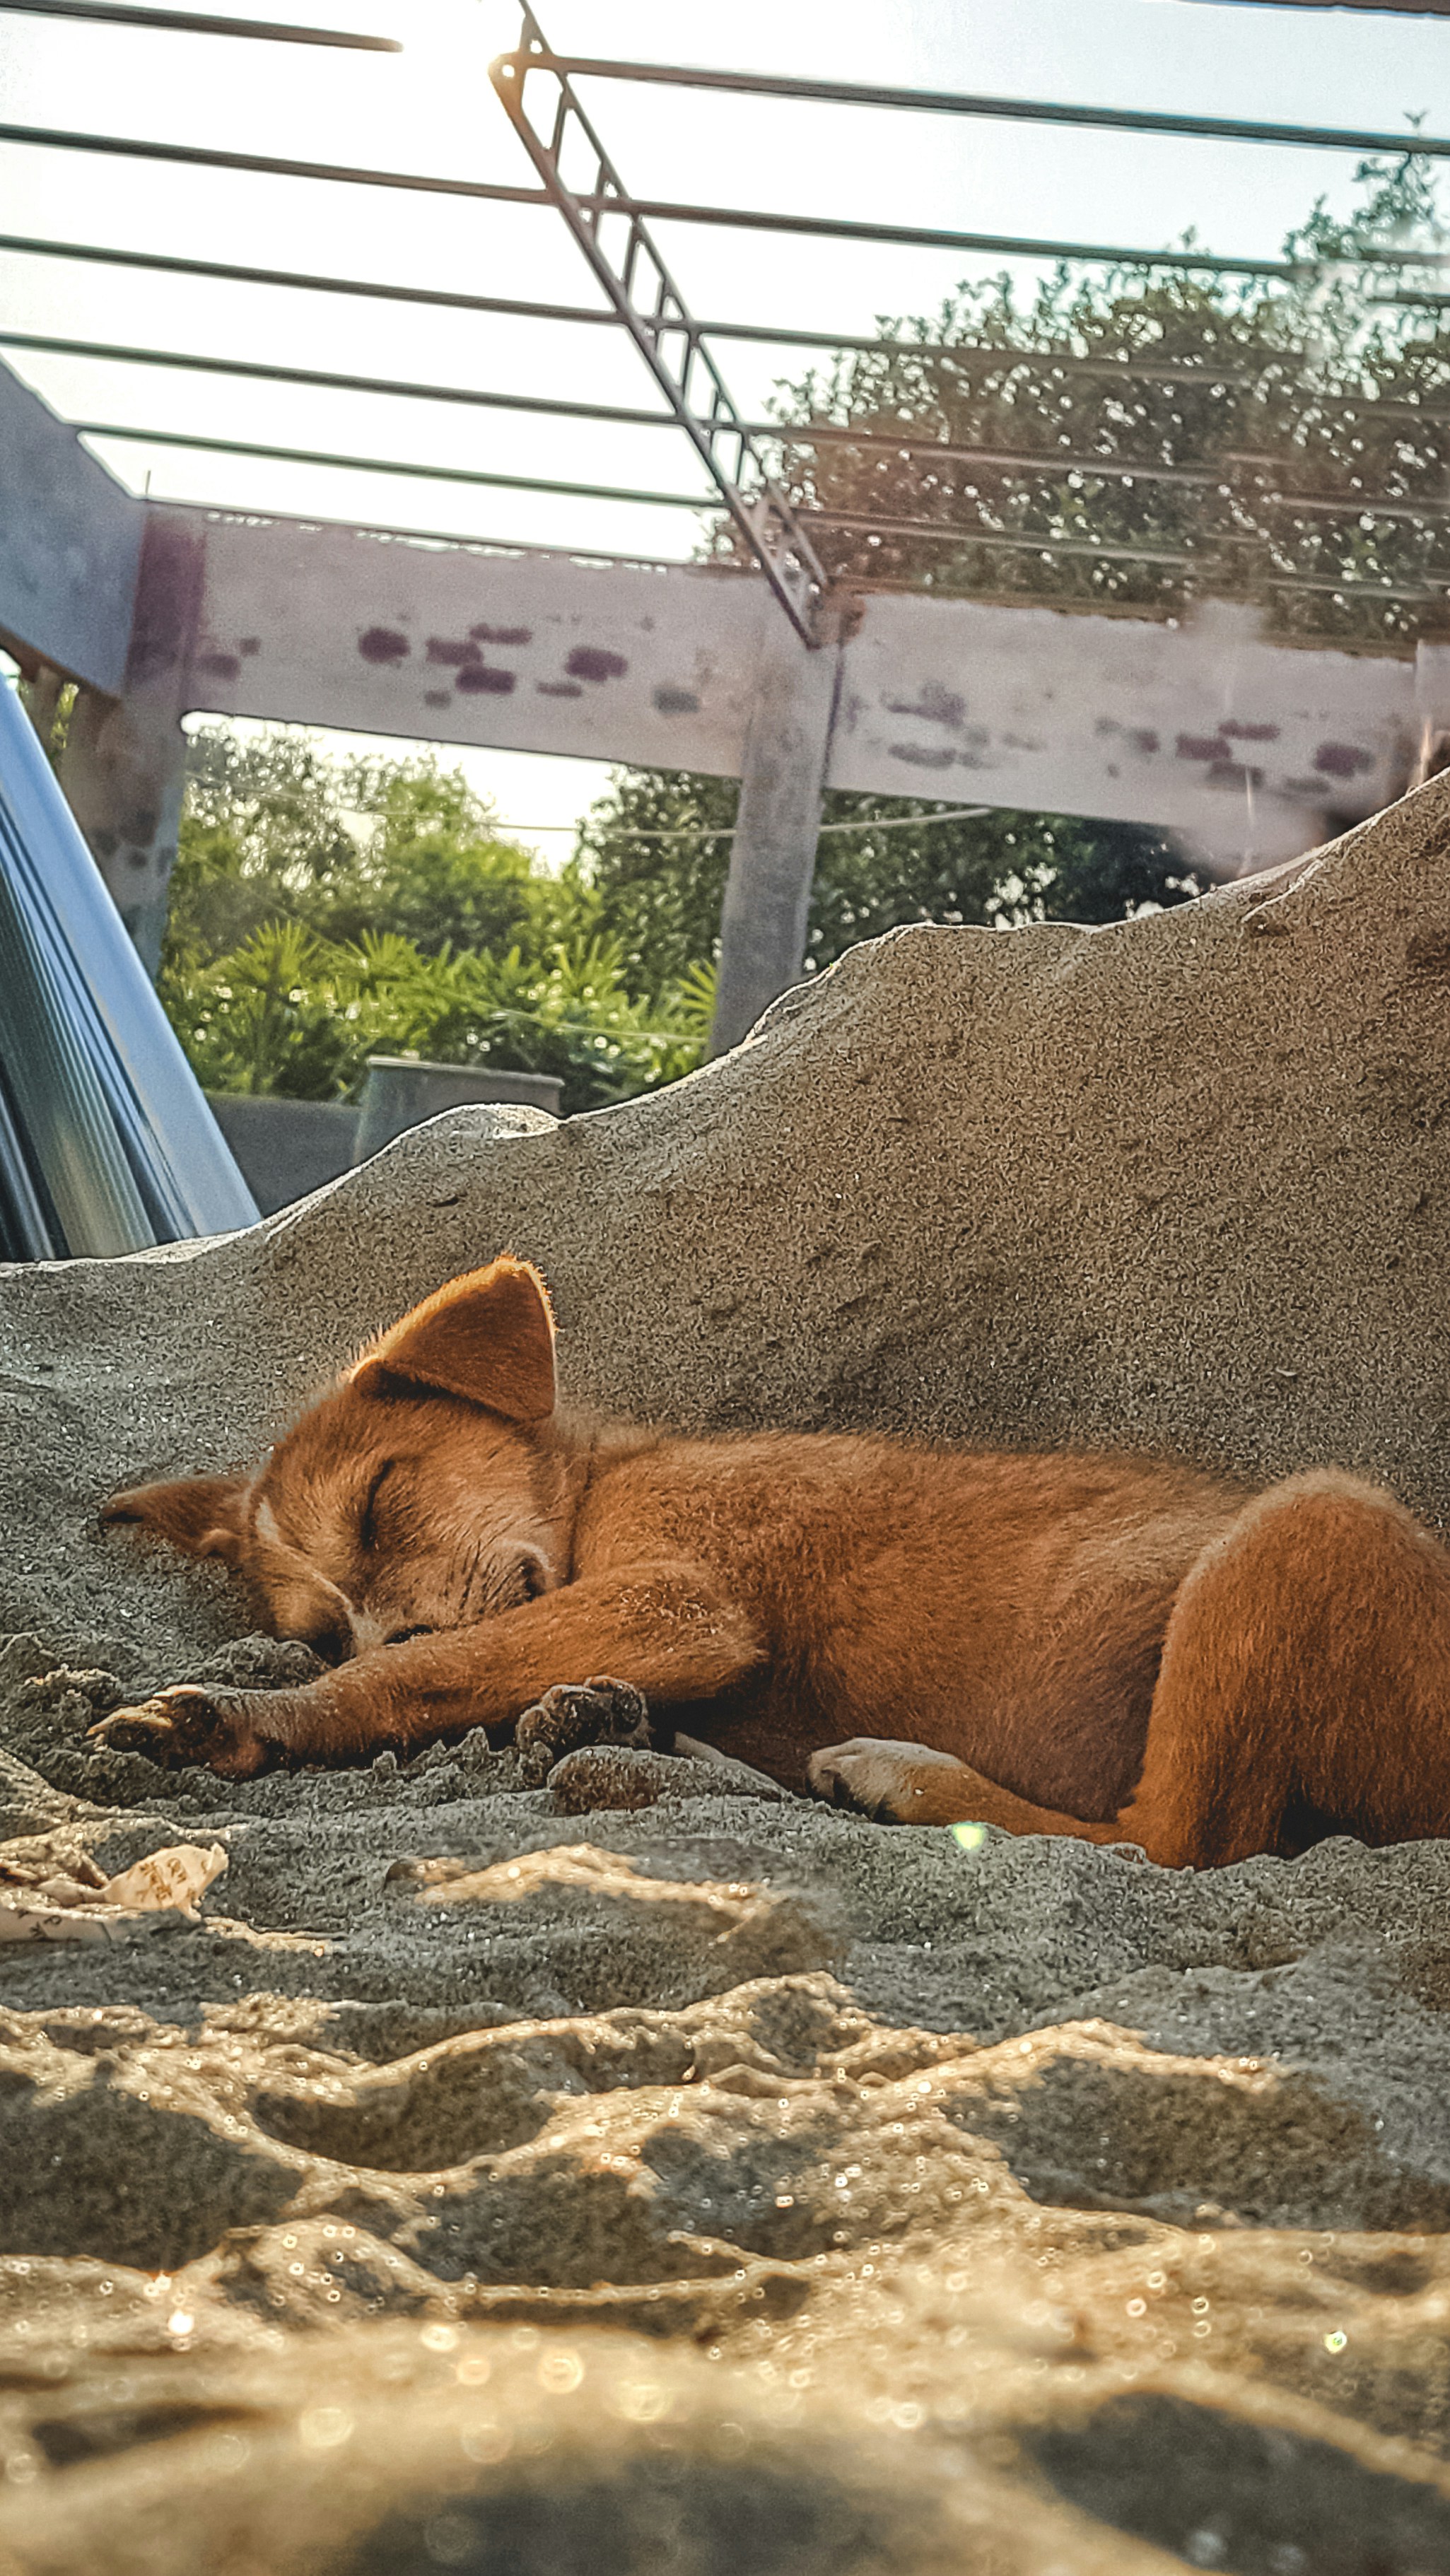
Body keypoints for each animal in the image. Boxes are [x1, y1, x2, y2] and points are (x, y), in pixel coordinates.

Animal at [91, 1255, 1450, 1869]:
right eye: (315, 1625)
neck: (598, 1481)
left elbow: (411, 1677)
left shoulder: (676, 1598)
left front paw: (244, 1718)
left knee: (1178, 1840)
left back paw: (900, 1778)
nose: (379, 1628)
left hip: (1313, 1516)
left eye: (379, 1504)